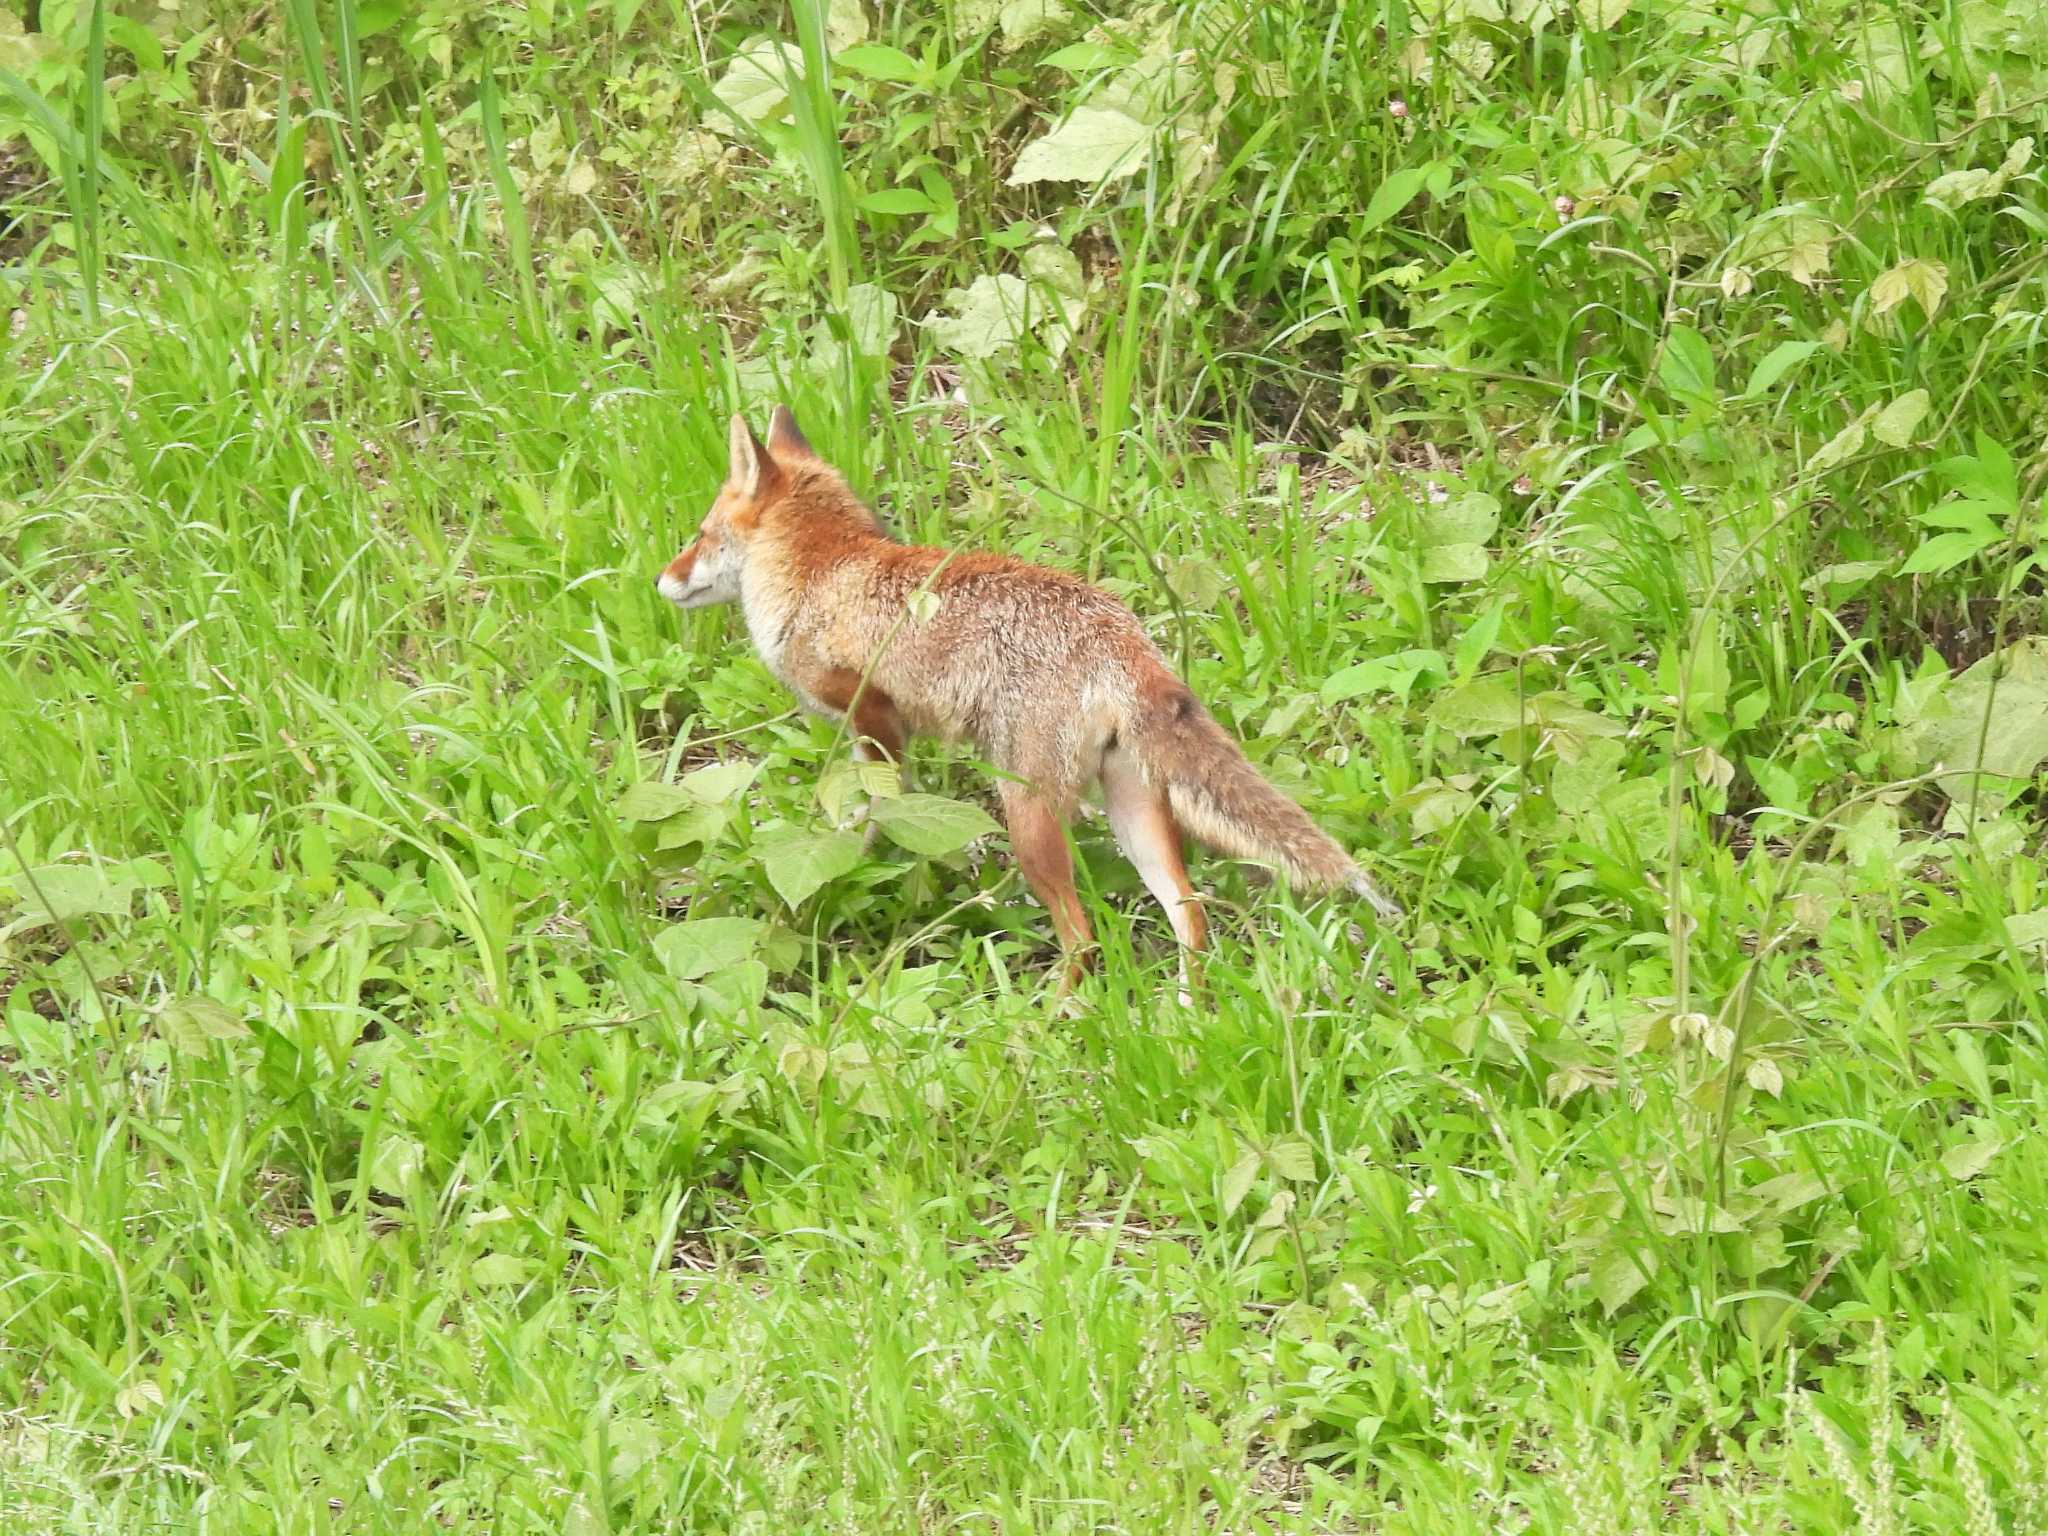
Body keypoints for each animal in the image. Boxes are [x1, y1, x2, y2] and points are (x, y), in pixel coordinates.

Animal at [659, 405, 1409, 987]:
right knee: (1189, 915)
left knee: (1082, 935)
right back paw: (1185, 1018)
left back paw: (1050, 1025)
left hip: (1027, 812)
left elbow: (876, 812)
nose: (661, 580)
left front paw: (862, 863)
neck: (822, 571)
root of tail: (1119, 631)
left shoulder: (872, 716)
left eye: (699, 534)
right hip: (1132, 809)